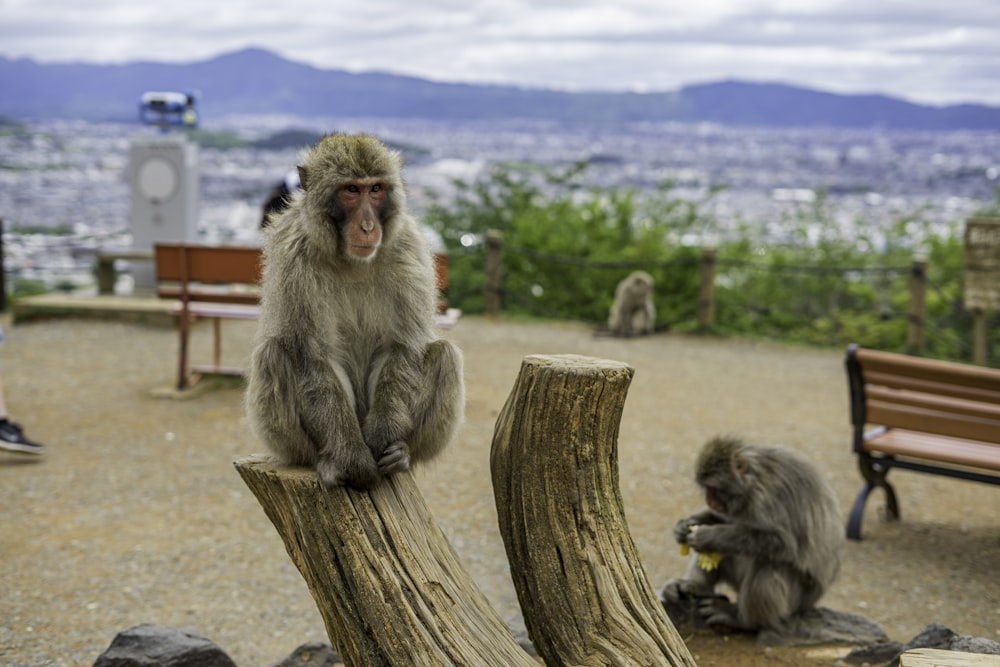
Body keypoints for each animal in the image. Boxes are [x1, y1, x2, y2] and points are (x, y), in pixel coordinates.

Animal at [246, 134, 464, 490]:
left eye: (375, 189)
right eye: (351, 190)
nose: (367, 225)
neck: (352, 262)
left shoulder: (408, 249)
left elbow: (402, 347)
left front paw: (380, 441)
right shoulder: (295, 256)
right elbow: (314, 357)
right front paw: (353, 461)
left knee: (446, 355)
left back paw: (403, 454)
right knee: (273, 354)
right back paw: (325, 461)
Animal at [664, 436, 844, 636]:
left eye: (713, 488)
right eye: (706, 488)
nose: (709, 500)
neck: (752, 481)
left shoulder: (768, 498)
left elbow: (783, 544)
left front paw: (707, 536)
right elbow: (723, 518)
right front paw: (684, 526)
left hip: (797, 600)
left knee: (768, 565)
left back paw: (743, 620)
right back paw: (696, 587)